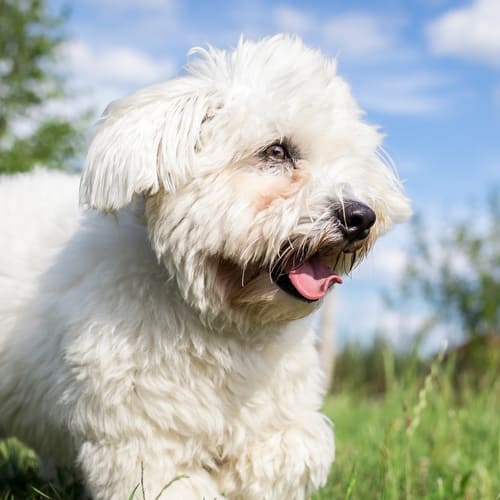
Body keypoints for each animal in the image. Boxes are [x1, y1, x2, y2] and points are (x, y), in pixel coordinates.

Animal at [0, 36, 410, 500]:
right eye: (276, 151)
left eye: (351, 159)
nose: (360, 216)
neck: (222, 322)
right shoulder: (147, 444)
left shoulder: (279, 417)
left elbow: (291, 451)